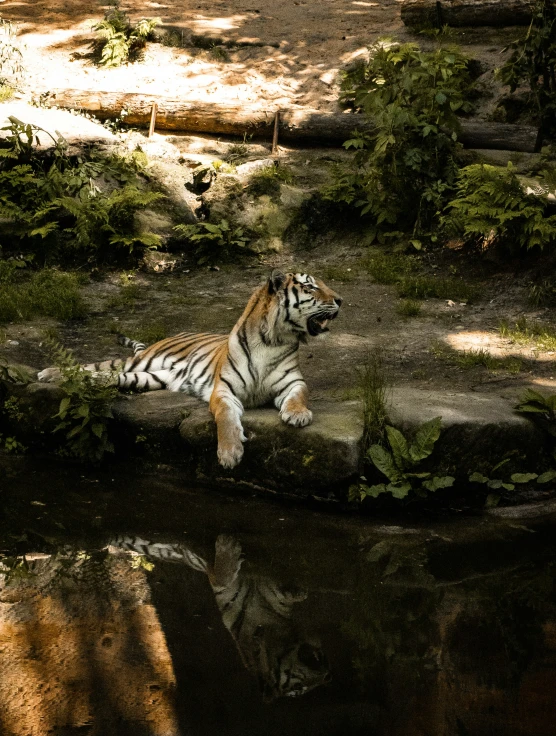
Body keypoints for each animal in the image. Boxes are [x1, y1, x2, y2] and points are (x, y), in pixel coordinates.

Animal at [38, 268, 338, 466]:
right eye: (311, 287)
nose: (341, 300)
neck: (272, 339)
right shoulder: (223, 391)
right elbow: (225, 418)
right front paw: (229, 453)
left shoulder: (293, 382)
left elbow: (299, 396)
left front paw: (297, 415)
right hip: (140, 360)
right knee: (96, 365)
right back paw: (48, 373)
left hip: (146, 377)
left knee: (105, 376)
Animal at [111, 532, 332, 700]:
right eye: (298, 689)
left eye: (322, 660)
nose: (326, 675)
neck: (267, 623)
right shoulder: (212, 577)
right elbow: (220, 578)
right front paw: (228, 547)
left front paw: (296, 591)